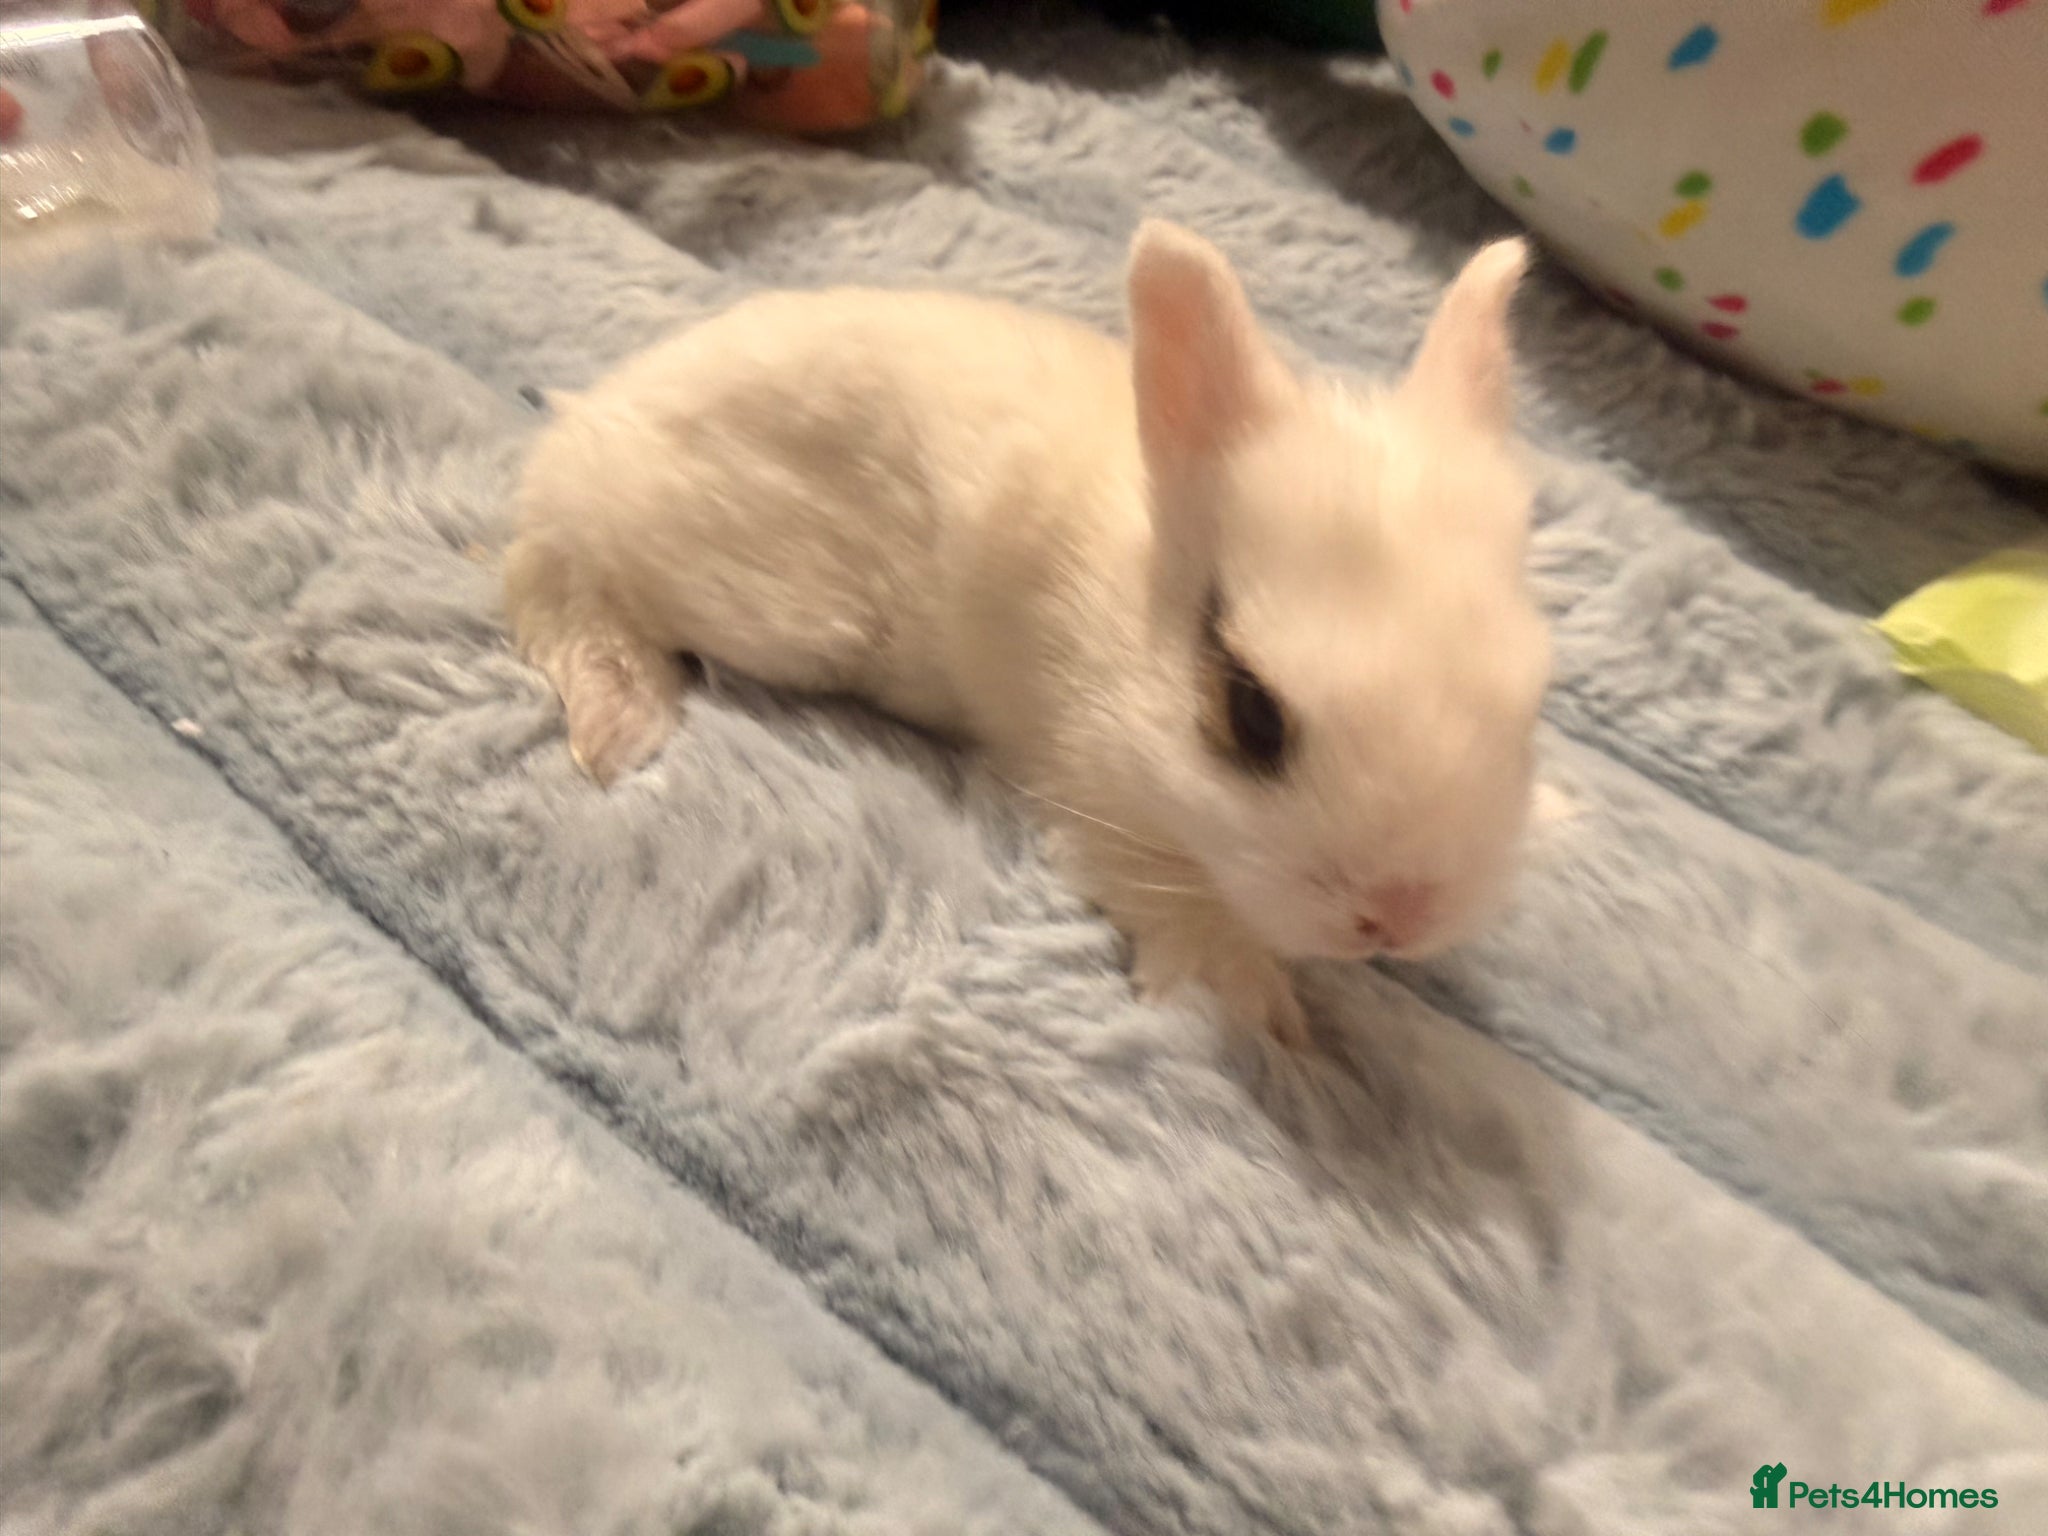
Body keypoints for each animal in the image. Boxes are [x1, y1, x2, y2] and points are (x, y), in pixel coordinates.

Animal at [503, 221, 1549, 1047]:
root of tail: (599, 413)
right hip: (756, 597)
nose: (1398, 915)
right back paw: (618, 718)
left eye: (1531, 703)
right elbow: (1170, 888)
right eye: (1252, 713)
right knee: (563, 565)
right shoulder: (1093, 781)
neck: (1131, 604)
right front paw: (1257, 1012)